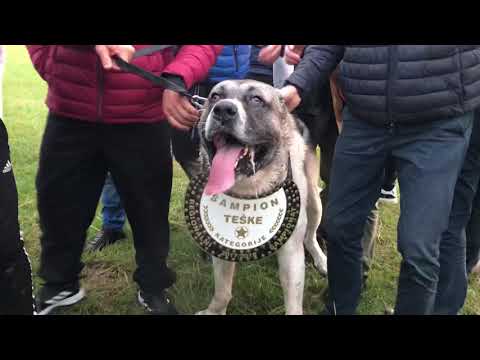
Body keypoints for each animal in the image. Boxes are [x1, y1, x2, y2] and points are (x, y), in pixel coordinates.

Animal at [194, 79, 326, 316]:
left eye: (256, 100)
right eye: (215, 96)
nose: (223, 110)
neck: (248, 189)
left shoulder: (291, 254)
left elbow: (293, 303)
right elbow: (222, 290)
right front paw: (214, 311)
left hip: (314, 202)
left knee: (310, 237)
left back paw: (322, 260)